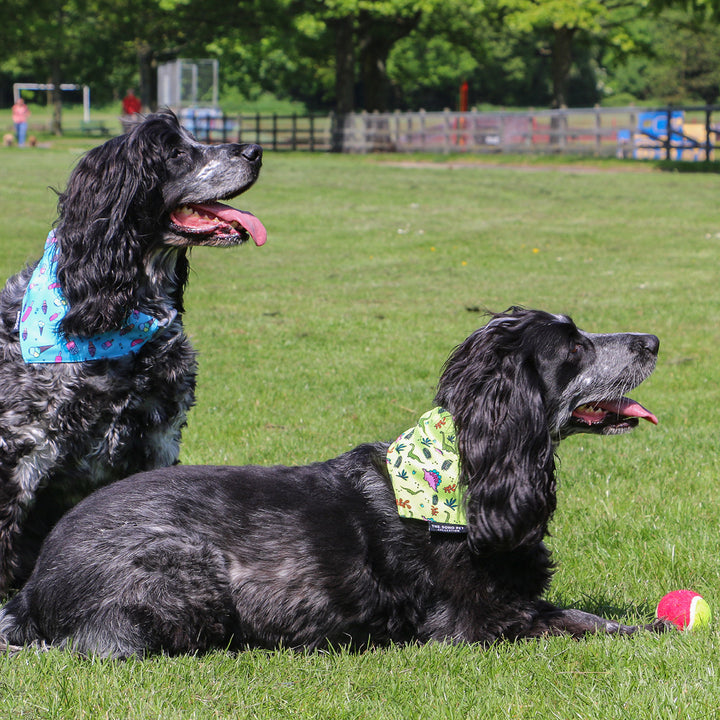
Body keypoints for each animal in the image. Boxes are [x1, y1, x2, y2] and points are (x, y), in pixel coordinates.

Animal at [0, 306, 664, 656]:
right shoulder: (473, 624)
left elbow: (574, 612)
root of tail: (32, 588)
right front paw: (653, 629)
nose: (653, 339)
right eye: (574, 349)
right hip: (187, 577)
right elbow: (578, 624)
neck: (460, 471)